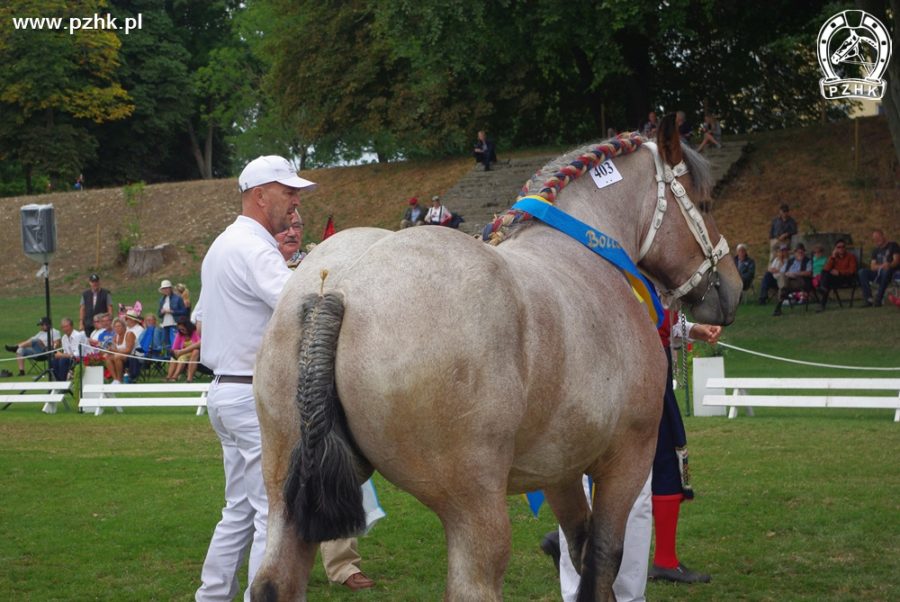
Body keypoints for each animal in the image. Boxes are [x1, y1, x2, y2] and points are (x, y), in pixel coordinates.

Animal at [251, 126, 740, 600]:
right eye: (704, 202)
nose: (732, 288)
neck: (588, 250)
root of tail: (338, 286)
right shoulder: (628, 457)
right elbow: (602, 562)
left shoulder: (559, 467)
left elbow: (578, 549)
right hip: (474, 508)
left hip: (285, 492)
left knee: (274, 581)